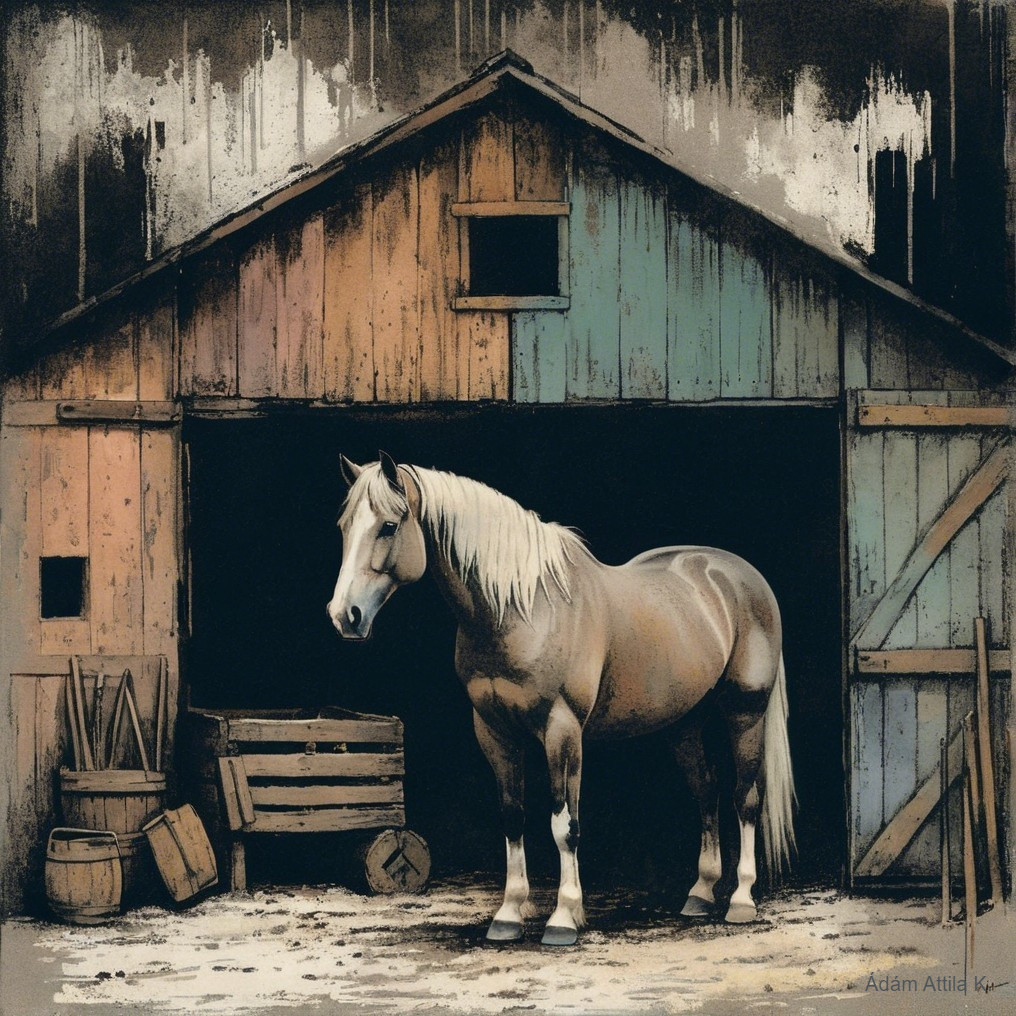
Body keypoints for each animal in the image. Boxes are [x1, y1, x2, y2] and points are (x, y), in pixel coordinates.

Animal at [327, 452, 795, 946]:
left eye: (388, 526)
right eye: (344, 526)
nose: (344, 615)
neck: (521, 609)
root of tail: (738, 575)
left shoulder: (562, 729)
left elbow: (563, 825)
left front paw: (564, 917)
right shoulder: (493, 731)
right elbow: (513, 817)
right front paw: (508, 914)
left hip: (746, 712)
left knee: (746, 797)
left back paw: (741, 900)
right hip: (684, 723)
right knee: (707, 792)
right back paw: (701, 893)